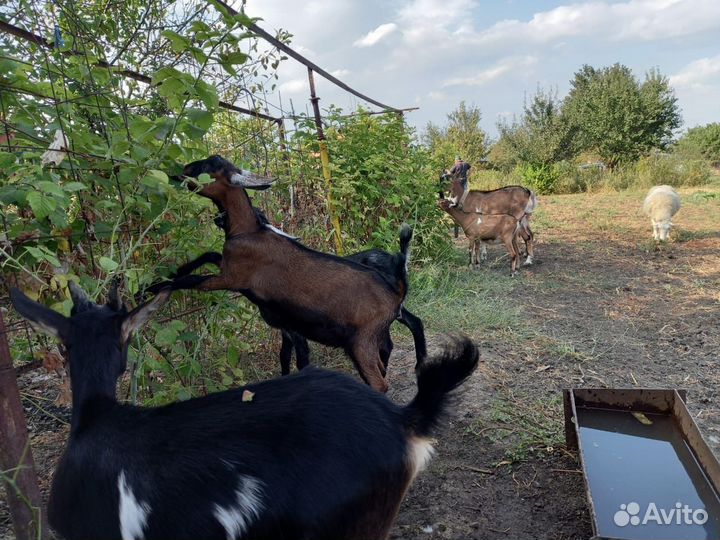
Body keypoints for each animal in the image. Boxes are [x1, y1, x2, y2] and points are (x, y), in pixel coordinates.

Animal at [146, 155, 416, 393]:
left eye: (207, 167)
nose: (179, 171)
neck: (249, 231)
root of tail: (396, 292)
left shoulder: (230, 278)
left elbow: (191, 281)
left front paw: (150, 289)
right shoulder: (228, 265)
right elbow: (208, 256)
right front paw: (166, 276)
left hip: (361, 341)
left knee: (379, 382)